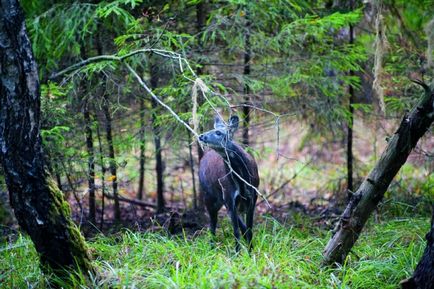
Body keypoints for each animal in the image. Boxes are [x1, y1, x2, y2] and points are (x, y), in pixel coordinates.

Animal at [199, 115, 260, 250]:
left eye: (218, 132)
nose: (201, 136)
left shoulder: (252, 197)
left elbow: (249, 229)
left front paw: (251, 251)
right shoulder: (228, 196)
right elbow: (236, 231)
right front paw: (237, 253)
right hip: (210, 197)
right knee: (212, 224)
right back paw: (211, 248)